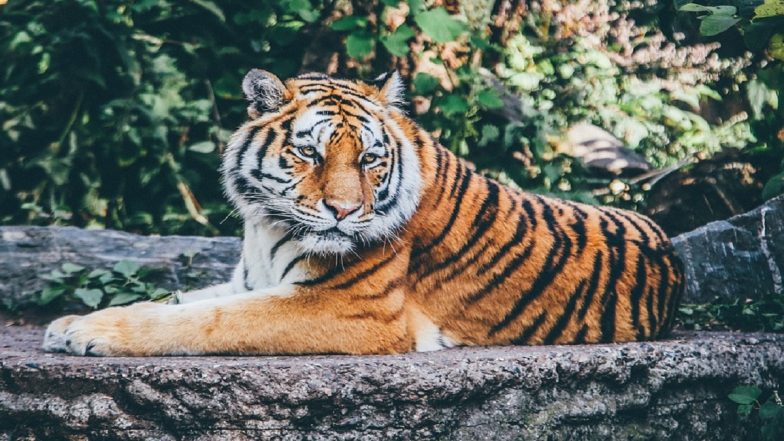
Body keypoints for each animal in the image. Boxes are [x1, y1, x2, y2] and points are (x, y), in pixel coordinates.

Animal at [41, 70, 680, 356]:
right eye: (310, 153)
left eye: (370, 158)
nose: (345, 212)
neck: (265, 226)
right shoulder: (250, 280)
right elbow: (180, 301)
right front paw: (69, 323)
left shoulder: (352, 308)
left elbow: (209, 320)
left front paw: (92, 332)